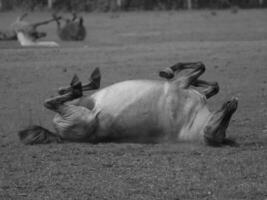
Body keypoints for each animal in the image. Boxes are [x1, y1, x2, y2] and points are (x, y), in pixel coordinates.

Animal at [17, 62, 238, 147]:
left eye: (218, 130)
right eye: (221, 125)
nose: (233, 104)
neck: (190, 122)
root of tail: (58, 135)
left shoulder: (181, 84)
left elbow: (201, 68)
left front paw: (167, 70)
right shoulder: (186, 86)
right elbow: (211, 82)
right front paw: (167, 71)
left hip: (84, 116)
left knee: (52, 102)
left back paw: (79, 86)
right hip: (82, 106)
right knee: (67, 94)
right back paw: (81, 84)